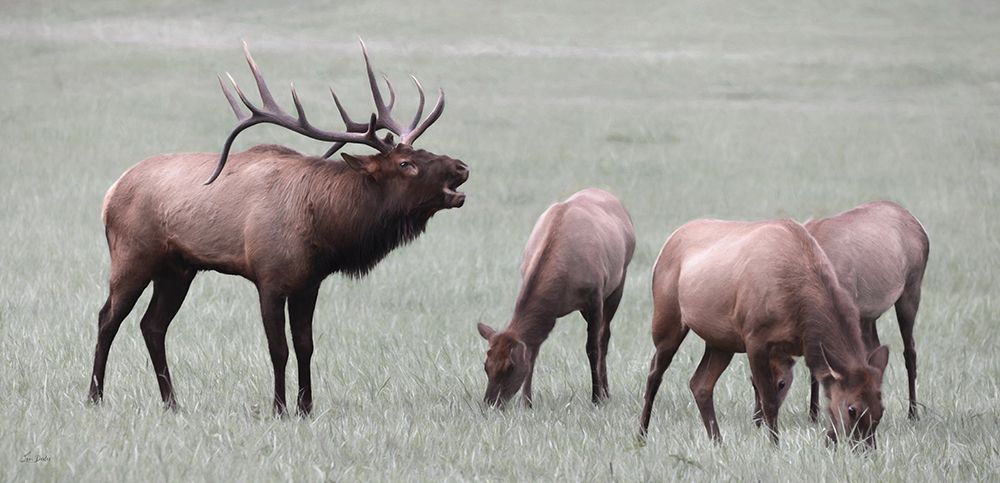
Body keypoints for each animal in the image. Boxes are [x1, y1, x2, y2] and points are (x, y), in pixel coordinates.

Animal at [87, 40, 469, 417]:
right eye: (405, 164)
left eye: (423, 150)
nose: (461, 166)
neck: (325, 228)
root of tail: (110, 192)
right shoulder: (269, 278)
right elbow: (278, 348)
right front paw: (279, 408)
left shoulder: (309, 283)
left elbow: (305, 345)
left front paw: (307, 407)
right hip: (132, 255)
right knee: (108, 318)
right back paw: (95, 396)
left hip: (177, 269)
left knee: (152, 325)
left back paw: (171, 403)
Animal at [476, 188, 635, 408]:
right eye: (486, 365)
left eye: (510, 367)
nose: (490, 403)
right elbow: (534, 350)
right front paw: (527, 402)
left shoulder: (595, 298)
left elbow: (592, 348)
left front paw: (595, 397)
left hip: (619, 281)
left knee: (605, 336)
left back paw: (606, 392)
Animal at [639, 218, 890, 448]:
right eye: (852, 409)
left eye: (881, 409)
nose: (865, 449)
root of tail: (668, 242)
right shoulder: (754, 338)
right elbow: (769, 400)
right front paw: (774, 446)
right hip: (667, 319)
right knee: (654, 373)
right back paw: (642, 434)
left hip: (721, 341)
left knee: (700, 384)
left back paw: (717, 442)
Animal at [751, 201, 929, 424]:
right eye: (752, 381)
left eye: (781, 382)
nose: (758, 419)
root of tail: (920, 226)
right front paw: (814, 413)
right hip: (868, 315)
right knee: (875, 349)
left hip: (912, 287)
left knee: (910, 350)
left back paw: (913, 412)